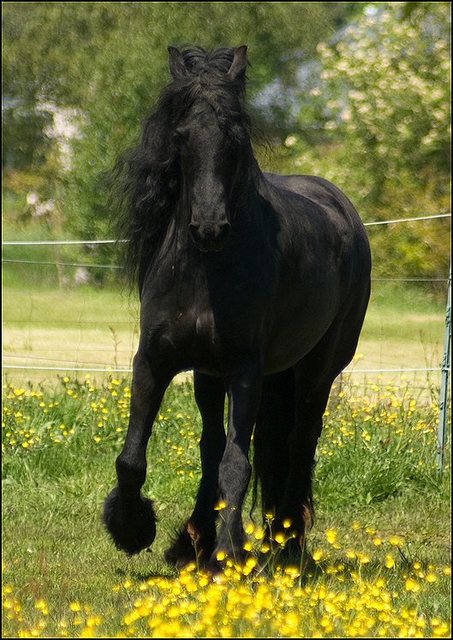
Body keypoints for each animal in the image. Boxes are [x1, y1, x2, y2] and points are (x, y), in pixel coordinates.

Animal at [105, 45, 370, 568]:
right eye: (182, 135)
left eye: (235, 136)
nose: (210, 228)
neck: (204, 274)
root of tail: (342, 208)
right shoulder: (154, 361)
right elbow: (133, 457)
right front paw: (132, 529)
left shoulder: (247, 369)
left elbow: (237, 463)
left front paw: (229, 552)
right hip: (213, 374)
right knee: (215, 444)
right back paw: (194, 539)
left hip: (317, 370)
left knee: (300, 441)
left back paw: (285, 542)